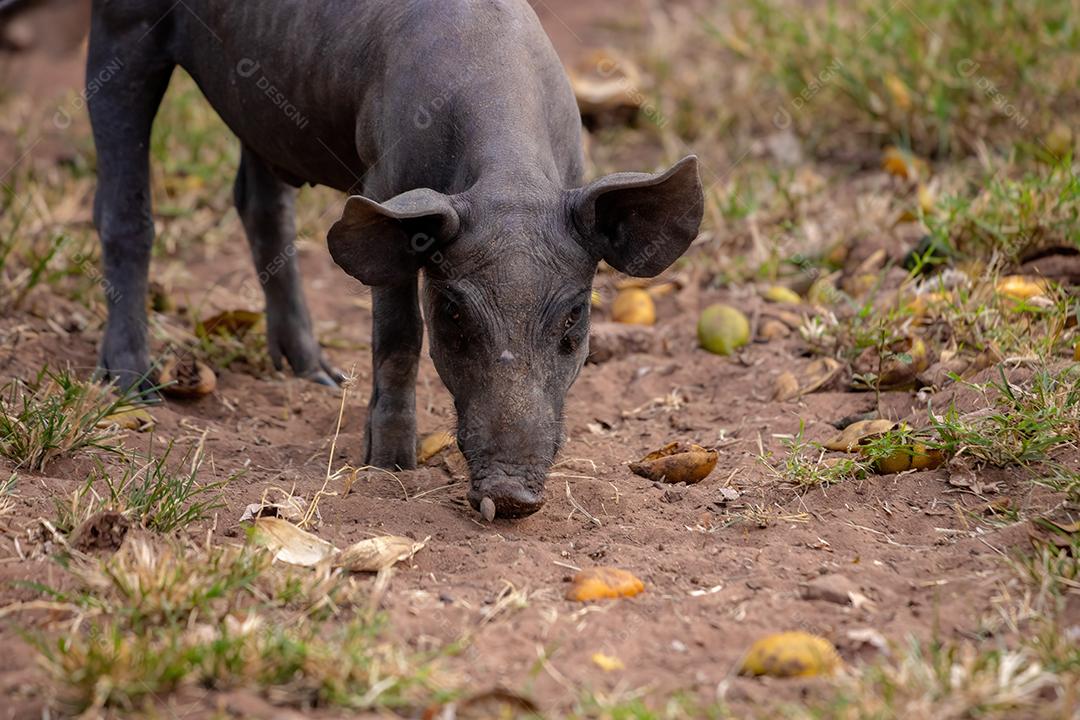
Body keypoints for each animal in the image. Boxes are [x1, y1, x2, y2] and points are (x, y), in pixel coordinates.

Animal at [81, 0, 704, 518]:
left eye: (574, 318)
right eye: (452, 314)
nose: (509, 496)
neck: (509, 179)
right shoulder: (385, 184)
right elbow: (399, 335)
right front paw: (389, 465)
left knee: (260, 203)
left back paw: (318, 375)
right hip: (122, 25)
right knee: (124, 209)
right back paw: (135, 388)